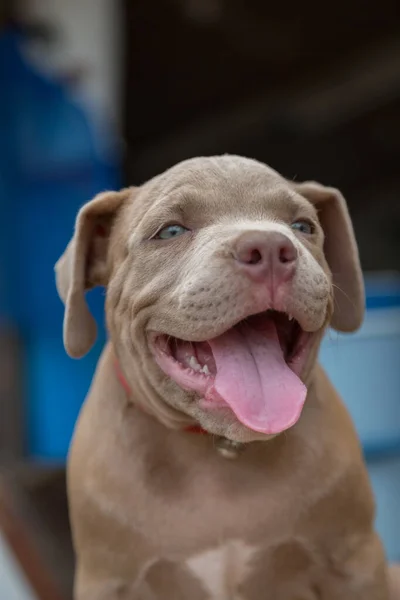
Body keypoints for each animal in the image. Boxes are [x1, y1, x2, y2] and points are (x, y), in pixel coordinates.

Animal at [55, 157, 390, 596]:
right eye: (171, 231)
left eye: (303, 226)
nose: (269, 248)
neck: (218, 451)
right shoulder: (109, 580)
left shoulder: (354, 562)